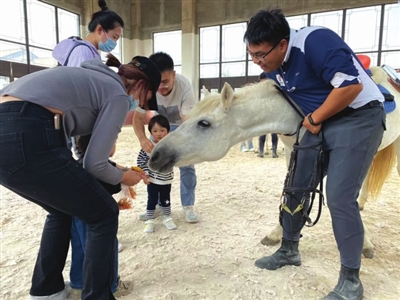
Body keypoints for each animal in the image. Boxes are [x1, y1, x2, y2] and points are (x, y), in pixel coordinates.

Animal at [149, 67, 400, 258]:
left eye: (204, 123)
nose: (156, 155)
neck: (298, 111)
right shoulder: (294, 152)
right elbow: (293, 191)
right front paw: (277, 234)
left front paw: (365, 244)